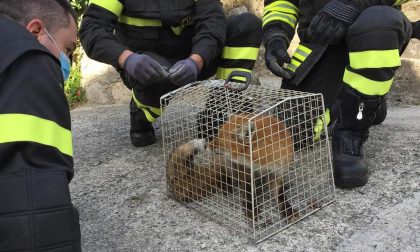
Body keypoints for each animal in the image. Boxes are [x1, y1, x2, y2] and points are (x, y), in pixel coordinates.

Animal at [166, 112, 296, 220]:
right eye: (216, 135)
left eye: (219, 142)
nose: (205, 144)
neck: (261, 161)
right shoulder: (245, 171)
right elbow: (249, 194)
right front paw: (252, 212)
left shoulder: (277, 171)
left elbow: (280, 195)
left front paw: (287, 210)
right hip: (224, 164)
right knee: (223, 178)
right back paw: (227, 188)